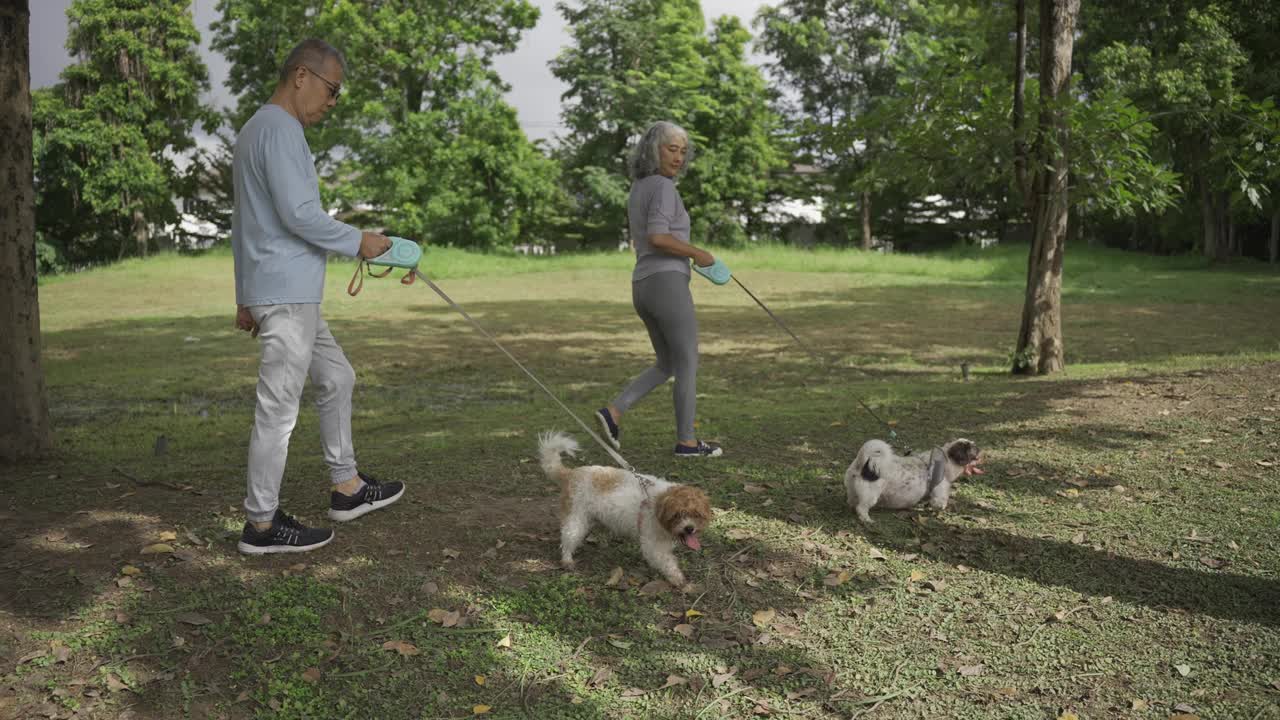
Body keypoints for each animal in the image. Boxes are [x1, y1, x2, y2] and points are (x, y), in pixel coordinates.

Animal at [537, 427, 716, 586]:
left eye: (696, 514)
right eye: (677, 515)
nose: (689, 528)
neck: (658, 502)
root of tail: (571, 474)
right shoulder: (653, 544)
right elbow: (667, 561)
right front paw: (677, 578)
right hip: (575, 519)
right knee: (567, 539)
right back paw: (567, 560)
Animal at [844, 438, 983, 520]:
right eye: (972, 448)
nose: (980, 448)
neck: (945, 461)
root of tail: (864, 463)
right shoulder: (940, 490)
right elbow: (939, 503)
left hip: (852, 488)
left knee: (852, 500)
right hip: (871, 495)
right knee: (862, 508)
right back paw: (866, 520)